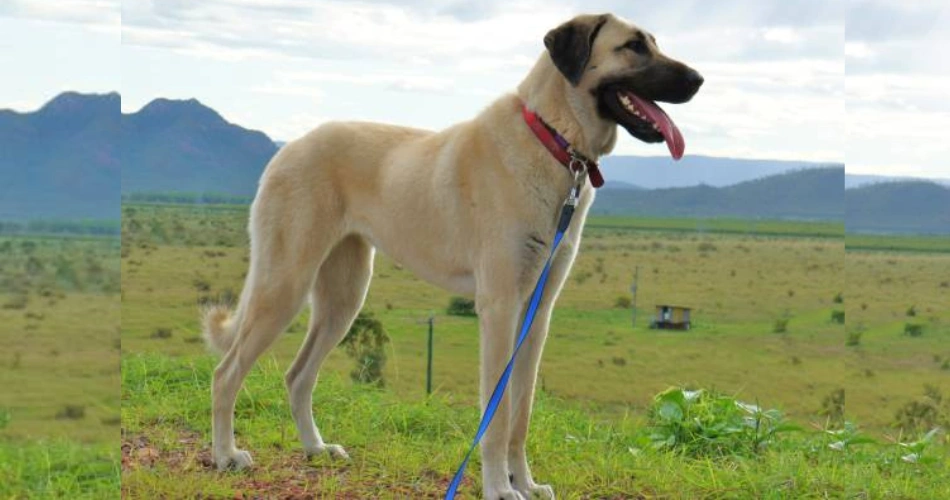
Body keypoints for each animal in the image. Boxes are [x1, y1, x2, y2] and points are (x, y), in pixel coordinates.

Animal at [205, 11, 704, 500]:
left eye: (653, 42)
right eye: (633, 46)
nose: (699, 79)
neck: (552, 136)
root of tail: (289, 147)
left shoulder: (536, 315)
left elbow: (521, 413)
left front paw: (524, 482)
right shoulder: (499, 308)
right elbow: (497, 416)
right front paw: (499, 487)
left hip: (343, 300)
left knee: (298, 375)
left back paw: (315, 448)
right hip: (285, 283)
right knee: (226, 373)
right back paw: (227, 455)